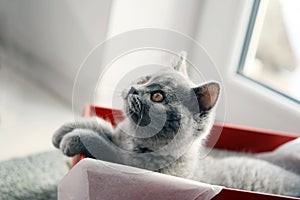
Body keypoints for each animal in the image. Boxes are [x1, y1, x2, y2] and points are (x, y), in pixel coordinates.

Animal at [52, 54, 300, 196]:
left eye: (158, 97)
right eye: (145, 79)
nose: (134, 89)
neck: (135, 139)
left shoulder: (130, 165)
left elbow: (103, 145)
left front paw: (73, 139)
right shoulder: (120, 136)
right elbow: (100, 125)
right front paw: (62, 131)